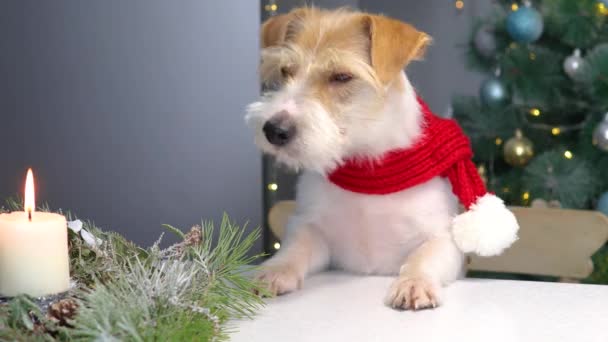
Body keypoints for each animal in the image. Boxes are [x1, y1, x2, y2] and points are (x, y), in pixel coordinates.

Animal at [246, 6, 516, 312]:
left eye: (341, 77)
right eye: (285, 71)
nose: (273, 130)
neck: (369, 170)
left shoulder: (442, 239)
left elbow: (422, 257)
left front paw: (414, 282)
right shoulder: (313, 230)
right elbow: (294, 250)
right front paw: (272, 271)